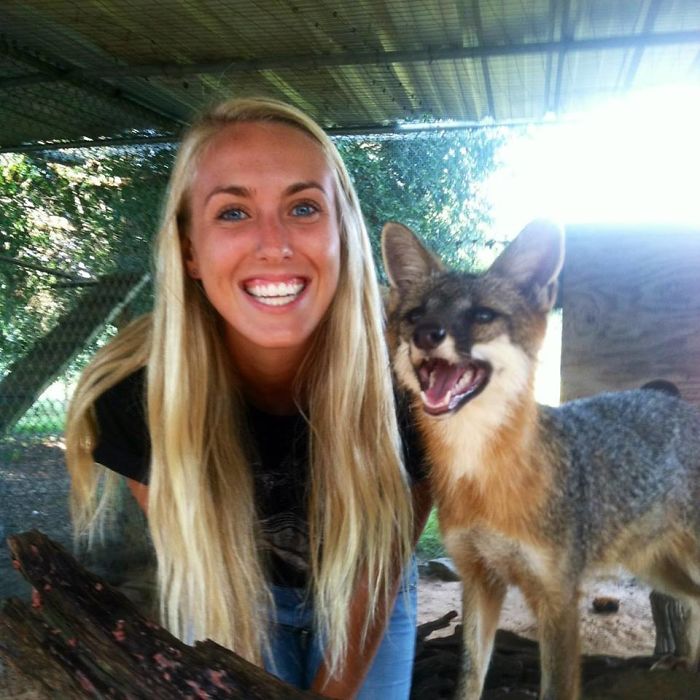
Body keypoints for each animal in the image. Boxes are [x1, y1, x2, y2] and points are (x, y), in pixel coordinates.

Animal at [381, 219, 700, 700]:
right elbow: (469, 678)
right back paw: (689, 661)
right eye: (417, 315)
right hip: (656, 568)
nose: (426, 335)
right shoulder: (480, 581)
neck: (482, 477)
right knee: (697, 598)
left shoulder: (558, 598)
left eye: (482, 316)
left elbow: (556, 687)